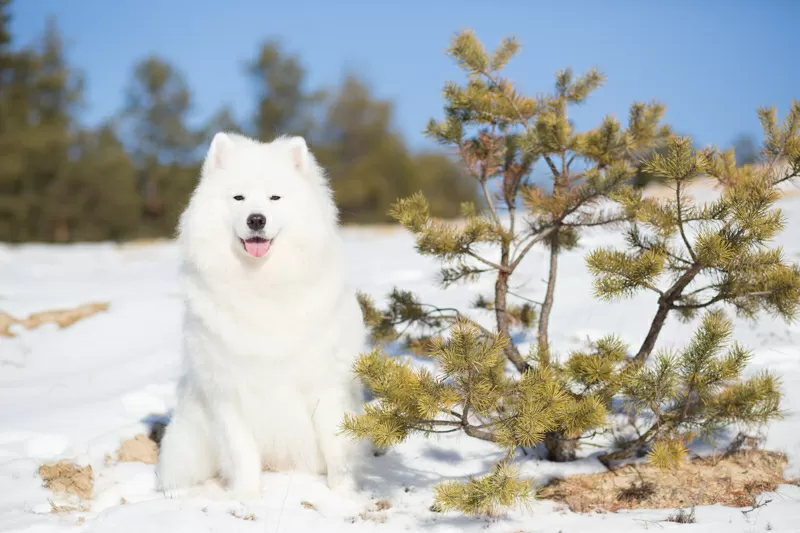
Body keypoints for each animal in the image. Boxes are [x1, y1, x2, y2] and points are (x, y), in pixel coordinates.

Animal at [155, 131, 366, 496]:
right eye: (238, 197)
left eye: (274, 197)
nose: (256, 219)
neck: (263, 285)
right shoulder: (227, 392)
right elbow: (241, 452)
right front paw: (245, 495)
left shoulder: (326, 385)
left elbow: (335, 445)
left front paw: (342, 493)